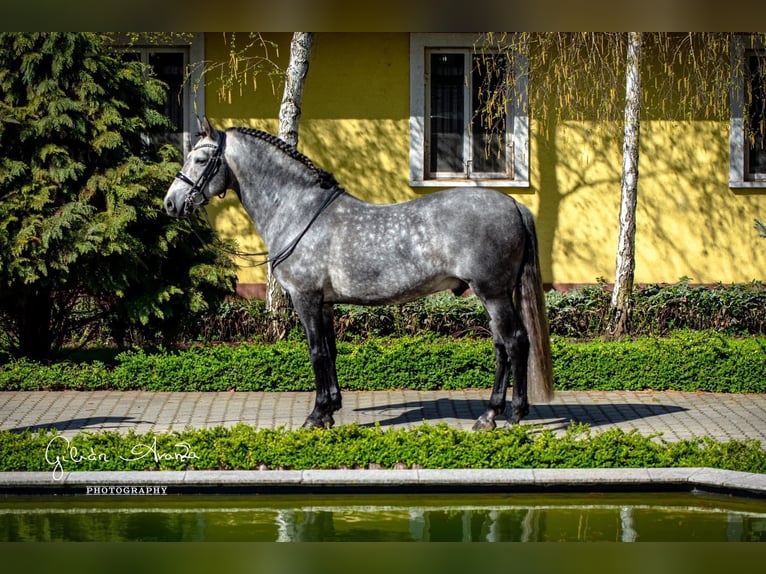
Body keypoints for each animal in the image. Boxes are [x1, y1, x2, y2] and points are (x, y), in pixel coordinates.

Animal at [165, 118, 556, 432]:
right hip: (494, 295)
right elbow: (331, 351)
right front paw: (330, 408)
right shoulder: (324, 304)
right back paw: (498, 413)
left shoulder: (305, 298)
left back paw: (502, 415)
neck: (298, 210)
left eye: (200, 159)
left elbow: (316, 353)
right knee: (502, 347)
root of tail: (514, 204)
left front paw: (315, 416)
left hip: (493, 294)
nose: (171, 203)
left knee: (515, 343)